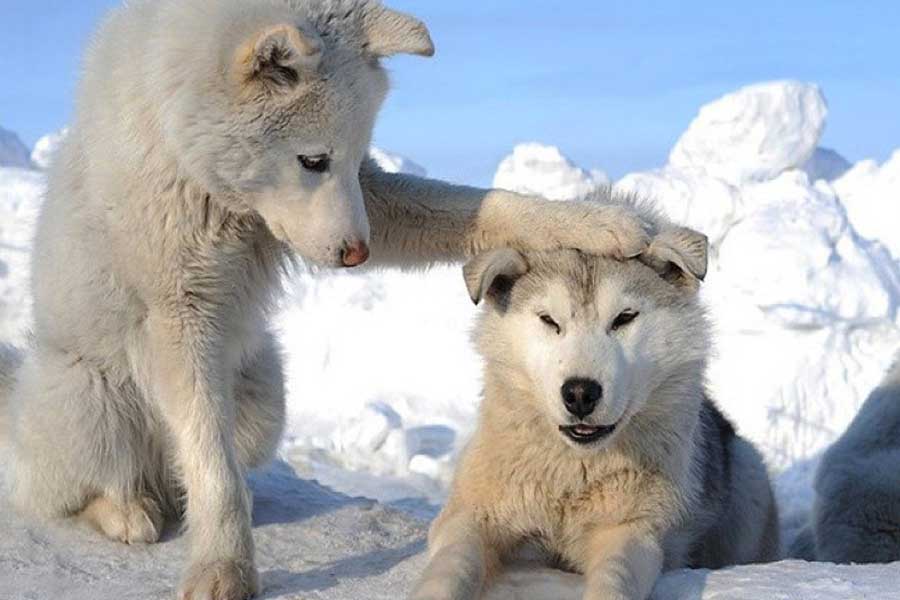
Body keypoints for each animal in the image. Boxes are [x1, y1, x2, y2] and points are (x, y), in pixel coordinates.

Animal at [0, 1, 652, 600]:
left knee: (197, 470)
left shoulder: (369, 203)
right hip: (92, 398)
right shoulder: (179, 313)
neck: (192, 158)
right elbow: (211, 467)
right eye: (313, 160)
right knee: (79, 488)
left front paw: (598, 223)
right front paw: (223, 569)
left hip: (263, 400)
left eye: (357, 158)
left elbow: (489, 205)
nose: (357, 254)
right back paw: (126, 511)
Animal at [412, 220, 776, 600]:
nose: (580, 393)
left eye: (624, 318)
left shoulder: (632, 531)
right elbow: (450, 567)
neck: (573, 473)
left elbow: (614, 577)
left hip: (748, 474)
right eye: (549, 320)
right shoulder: (468, 517)